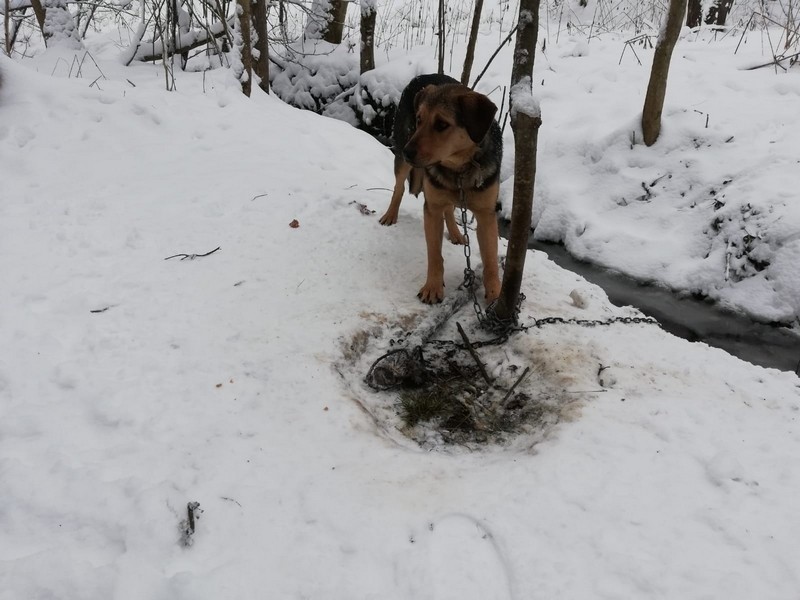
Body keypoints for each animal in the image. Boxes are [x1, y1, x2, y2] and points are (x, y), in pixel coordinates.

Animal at [380, 74, 504, 304]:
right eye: (419, 119)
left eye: (442, 124)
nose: (408, 152)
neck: (458, 168)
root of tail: (423, 76)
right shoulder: (432, 209)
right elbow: (434, 255)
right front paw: (432, 288)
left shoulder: (486, 214)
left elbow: (491, 258)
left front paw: (495, 293)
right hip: (402, 158)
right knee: (398, 187)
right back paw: (390, 215)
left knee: (449, 207)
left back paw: (456, 233)